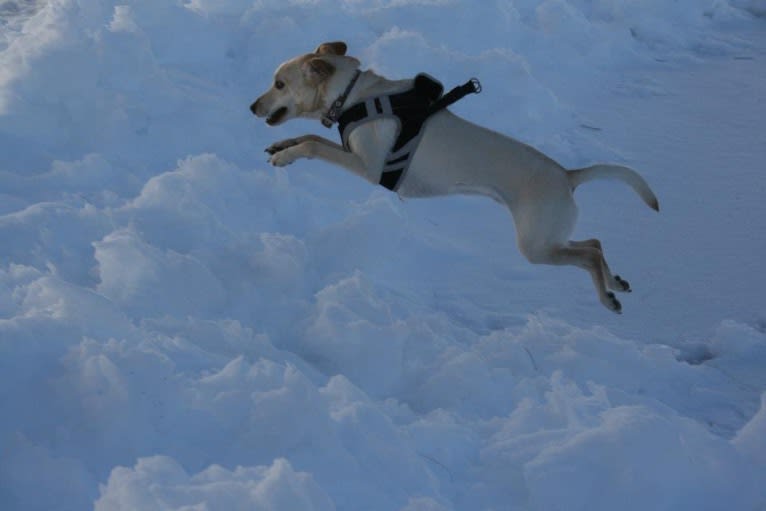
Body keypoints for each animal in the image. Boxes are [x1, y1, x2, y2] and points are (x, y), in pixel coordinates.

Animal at [250, 41, 660, 312]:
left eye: (279, 84)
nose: (252, 106)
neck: (352, 96)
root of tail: (568, 175)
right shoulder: (348, 151)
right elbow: (312, 137)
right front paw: (282, 145)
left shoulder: (367, 167)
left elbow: (314, 145)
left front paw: (286, 156)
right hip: (549, 236)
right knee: (594, 243)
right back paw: (616, 282)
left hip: (536, 245)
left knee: (588, 254)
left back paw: (607, 296)